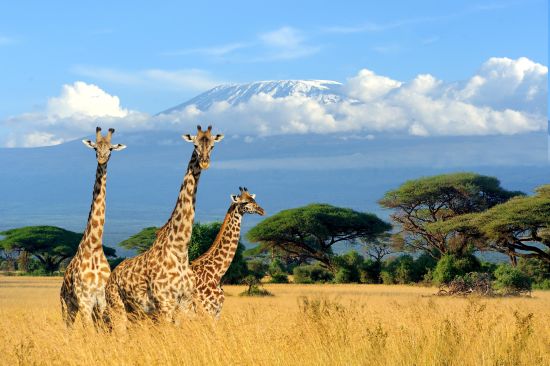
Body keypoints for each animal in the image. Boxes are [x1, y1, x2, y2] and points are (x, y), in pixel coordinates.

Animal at [60, 127, 127, 328]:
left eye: (111, 149)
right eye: (95, 148)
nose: (102, 158)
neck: (95, 247)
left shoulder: (102, 301)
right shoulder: (85, 301)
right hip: (67, 306)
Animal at [104, 124, 223, 324]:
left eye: (213, 146)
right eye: (195, 145)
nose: (205, 162)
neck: (180, 249)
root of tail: (111, 277)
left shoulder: (185, 303)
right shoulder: (164, 303)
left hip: (136, 312)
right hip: (117, 307)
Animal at [192, 186, 266, 318]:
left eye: (254, 200)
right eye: (244, 202)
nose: (261, 210)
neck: (216, 273)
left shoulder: (216, 310)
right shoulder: (208, 308)